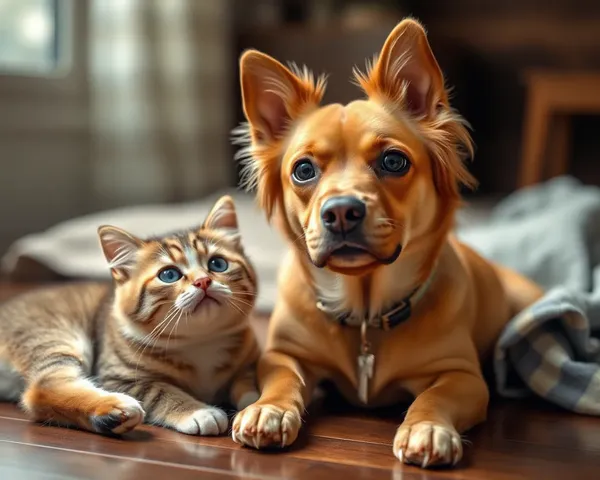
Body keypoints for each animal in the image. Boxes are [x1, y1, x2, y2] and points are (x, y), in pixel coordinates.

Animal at [0, 194, 260, 436]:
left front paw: (256, 405)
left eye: (218, 264)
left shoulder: (249, 360)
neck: (201, 341)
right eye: (169, 275)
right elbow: (160, 391)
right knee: (42, 389)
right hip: (51, 335)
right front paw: (198, 411)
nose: (203, 281)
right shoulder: (117, 377)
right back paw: (115, 409)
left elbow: (247, 379)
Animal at [230, 19, 544, 468]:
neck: (365, 311)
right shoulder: (284, 354)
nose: (341, 211)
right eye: (303, 170)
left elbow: (434, 397)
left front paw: (427, 429)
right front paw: (267, 409)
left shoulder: (463, 375)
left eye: (394, 161)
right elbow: (281, 378)